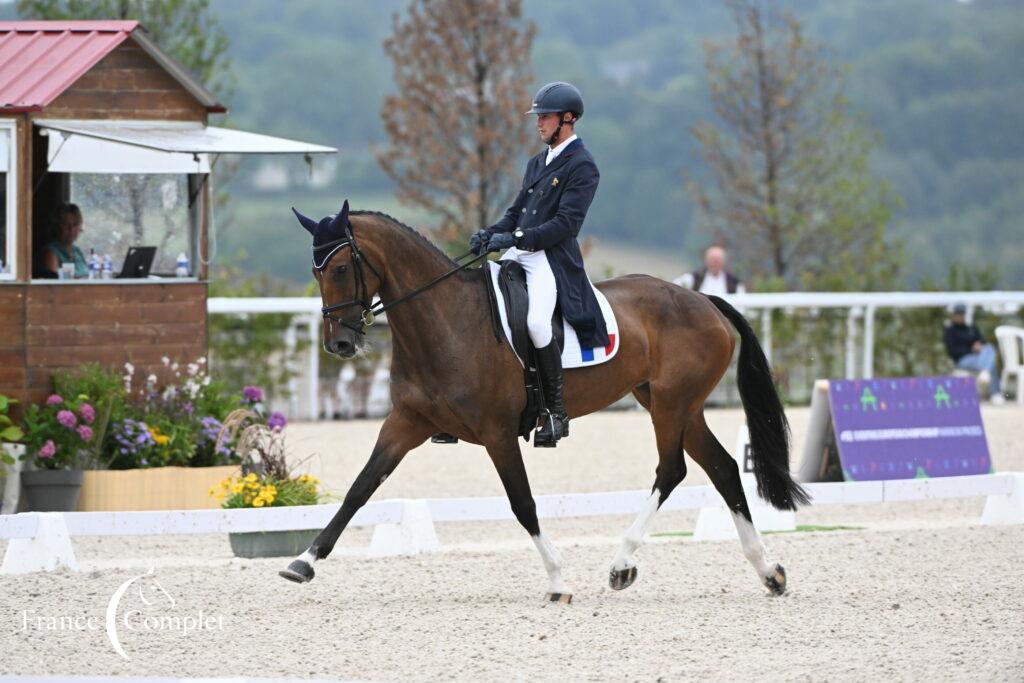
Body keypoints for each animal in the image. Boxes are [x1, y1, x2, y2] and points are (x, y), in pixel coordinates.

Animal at [280, 200, 806, 602]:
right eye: (315, 271)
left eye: (342, 268)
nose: (340, 344)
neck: (446, 321)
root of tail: (702, 301)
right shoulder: (405, 423)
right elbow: (360, 488)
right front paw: (303, 562)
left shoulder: (497, 433)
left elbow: (523, 503)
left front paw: (557, 580)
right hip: (676, 405)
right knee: (723, 469)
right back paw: (769, 572)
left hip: (672, 405)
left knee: (672, 469)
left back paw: (621, 565)